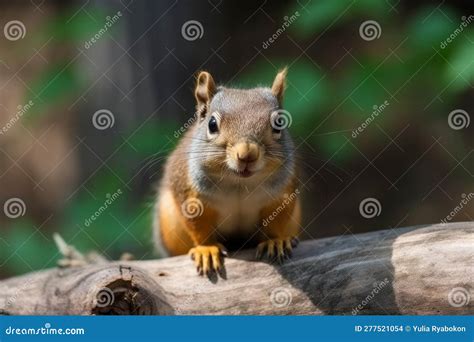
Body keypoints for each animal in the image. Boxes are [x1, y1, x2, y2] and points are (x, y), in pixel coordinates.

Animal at [154, 69, 302, 276]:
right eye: (212, 124)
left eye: (279, 123)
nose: (247, 154)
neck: (239, 183)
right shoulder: (191, 196)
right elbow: (198, 226)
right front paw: (206, 249)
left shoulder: (282, 194)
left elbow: (277, 221)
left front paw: (275, 241)